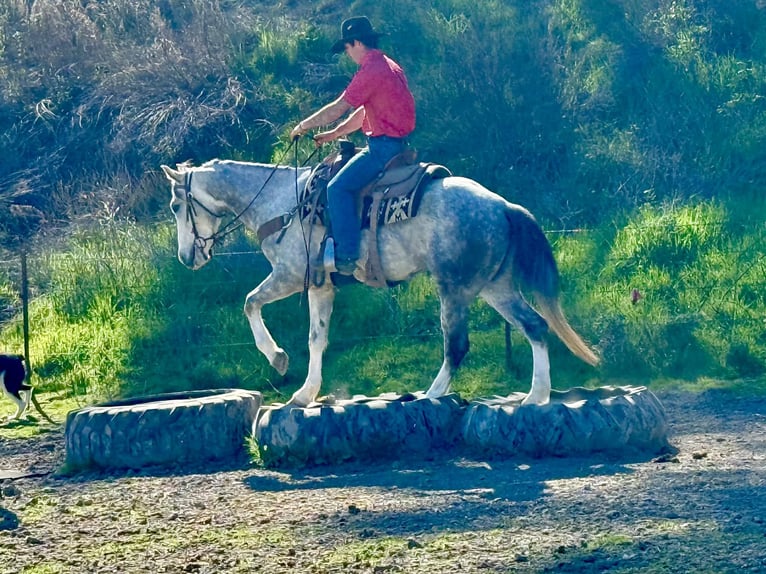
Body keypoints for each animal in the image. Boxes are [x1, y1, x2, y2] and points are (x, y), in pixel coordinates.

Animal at [160, 157, 598, 407]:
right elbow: (317, 339)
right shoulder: (321, 286)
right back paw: (536, 396)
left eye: (176, 205)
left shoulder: (290, 275)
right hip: (495, 287)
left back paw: (431, 395)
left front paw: (278, 358)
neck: (281, 204)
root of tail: (503, 206)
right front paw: (305, 394)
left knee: (456, 345)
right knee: (534, 325)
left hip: (454, 289)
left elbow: (250, 302)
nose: (187, 257)